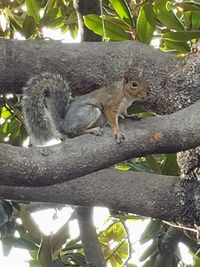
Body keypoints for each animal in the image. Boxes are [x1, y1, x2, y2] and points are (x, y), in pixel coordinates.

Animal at [22, 72, 150, 147]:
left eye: (146, 81)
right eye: (134, 84)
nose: (148, 92)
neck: (127, 96)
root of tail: (64, 124)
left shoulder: (124, 108)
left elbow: (125, 113)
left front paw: (132, 116)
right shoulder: (111, 104)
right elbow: (112, 119)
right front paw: (117, 132)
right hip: (90, 112)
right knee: (74, 132)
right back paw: (94, 130)